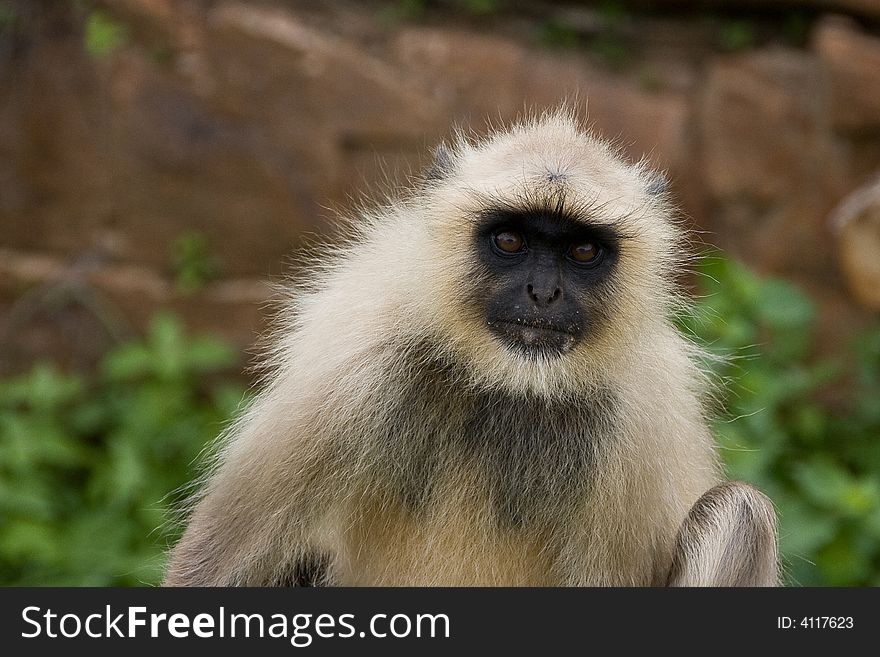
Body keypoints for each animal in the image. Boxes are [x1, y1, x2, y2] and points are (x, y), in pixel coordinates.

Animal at [163, 110, 776, 588]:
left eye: (582, 251)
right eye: (509, 240)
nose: (543, 293)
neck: (507, 384)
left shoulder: (639, 418)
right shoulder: (355, 364)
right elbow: (209, 570)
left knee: (741, 512)